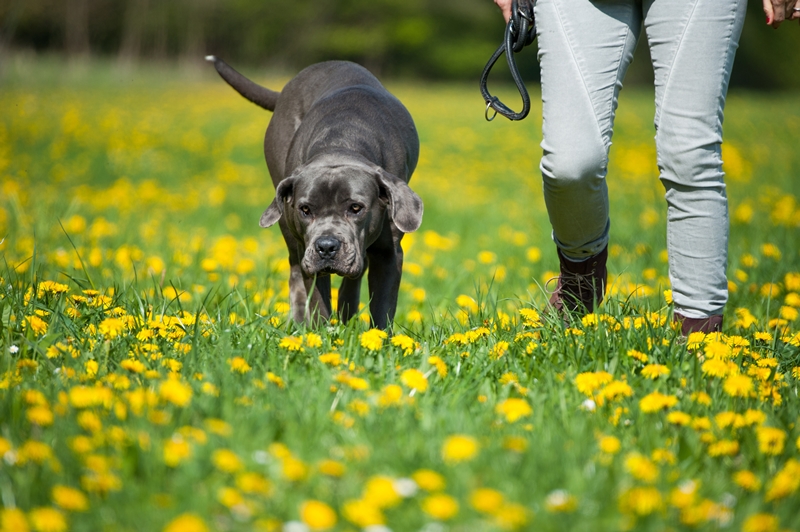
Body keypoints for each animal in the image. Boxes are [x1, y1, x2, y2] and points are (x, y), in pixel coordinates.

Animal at [206, 57, 422, 328]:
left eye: (356, 208)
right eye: (305, 209)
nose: (326, 246)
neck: (341, 144)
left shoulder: (388, 253)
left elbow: (382, 305)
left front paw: (380, 335)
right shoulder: (306, 251)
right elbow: (316, 297)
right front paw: (318, 332)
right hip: (288, 229)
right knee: (296, 272)